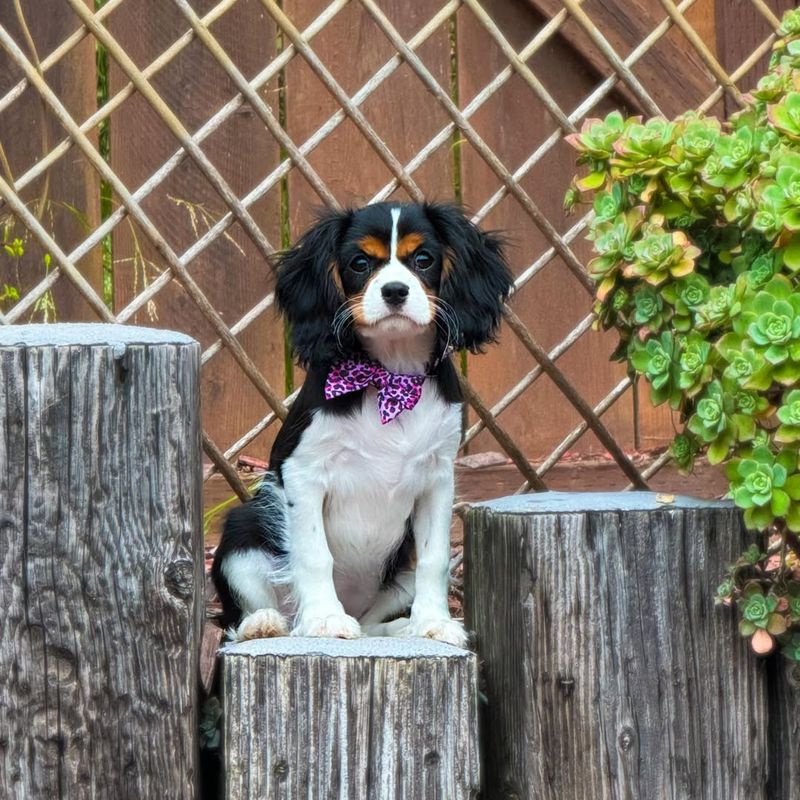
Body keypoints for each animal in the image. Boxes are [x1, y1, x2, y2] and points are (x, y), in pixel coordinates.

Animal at [211, 203, 512, 648]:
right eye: (359, 263)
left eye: (423, 259)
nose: (395, 291)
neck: (390, 375)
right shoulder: (302, 472)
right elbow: (315, 555)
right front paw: (324, 620)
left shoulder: (438, 479)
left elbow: (435, 558)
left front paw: (434, 623)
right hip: (244, 531)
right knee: (244, 616)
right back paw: (264, 623)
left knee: (372, 622)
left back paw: (399, 627)